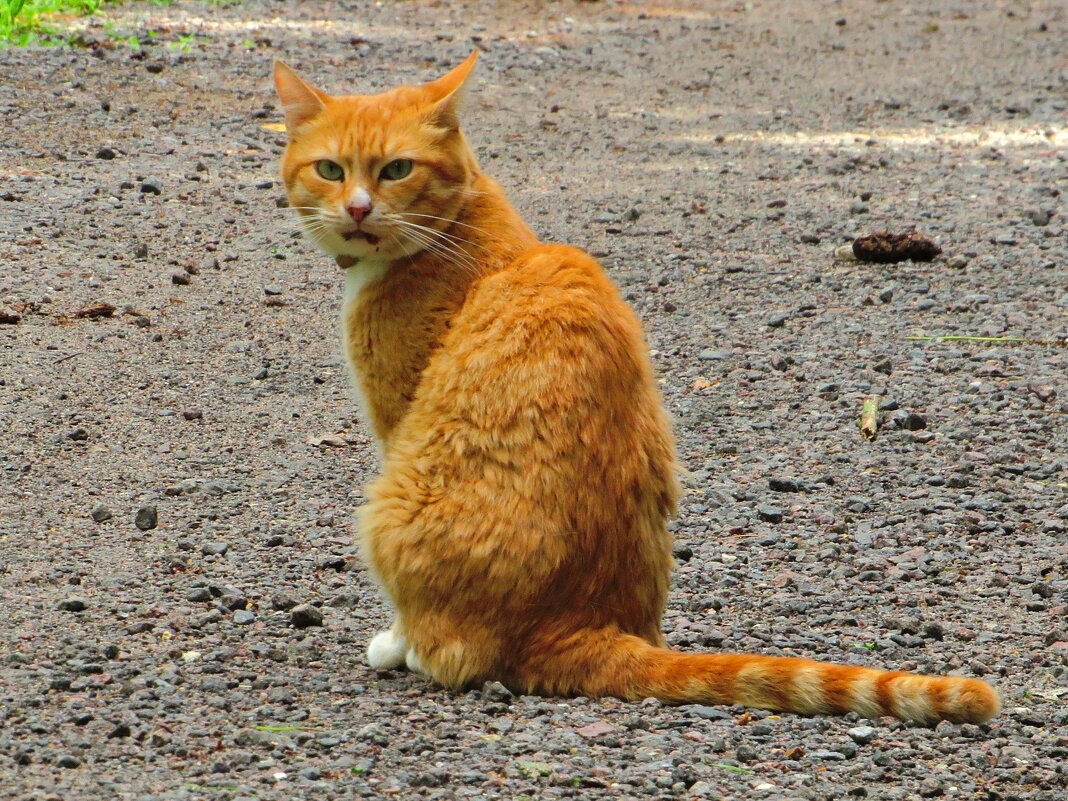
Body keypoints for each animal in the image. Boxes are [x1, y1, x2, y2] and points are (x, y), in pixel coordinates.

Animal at [275, 53, 999, 726]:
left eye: (397, 169)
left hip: (391, 503)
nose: (358, 208)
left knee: (456, 651)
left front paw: (392, 642)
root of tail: (581, 622)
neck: (452, 229)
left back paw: (414, 651)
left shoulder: (396, 418)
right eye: (331, 170)